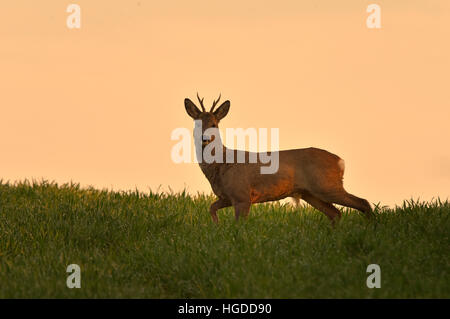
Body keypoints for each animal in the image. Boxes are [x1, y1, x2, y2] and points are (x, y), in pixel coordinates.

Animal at [184, 94, 372, 225]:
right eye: (197, 123)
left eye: (214, 124)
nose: (205, 139)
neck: (222, 164)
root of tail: (340, 161)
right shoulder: (226, 196)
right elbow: (211, 208)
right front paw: (216, 226)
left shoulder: (242, 195)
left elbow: (239, 224)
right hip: (310, 193)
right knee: (336, 214)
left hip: (326, 185)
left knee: (362, 202)